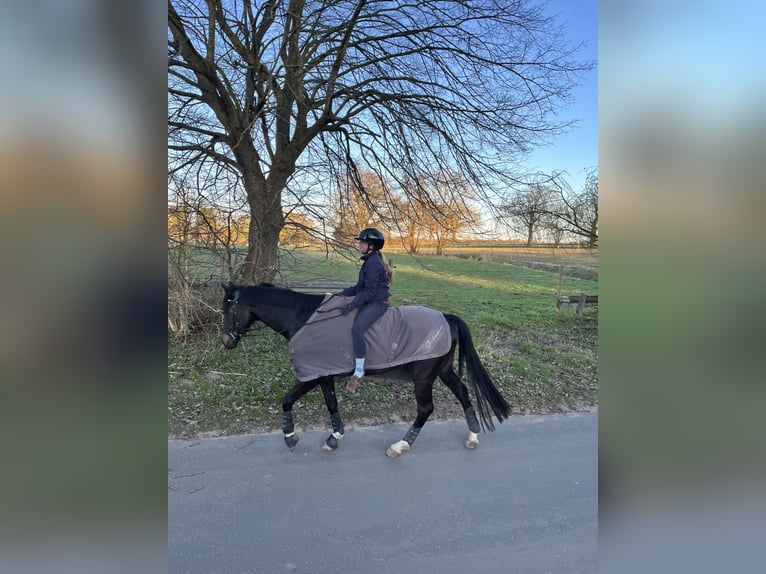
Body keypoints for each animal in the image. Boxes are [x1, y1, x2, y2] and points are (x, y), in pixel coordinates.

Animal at [219, 281, 510, 457]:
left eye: (227, 309)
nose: (225, 341)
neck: (305, 320)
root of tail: (446, 318)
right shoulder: (323, 374)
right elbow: (331, 403)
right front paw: (334, 436)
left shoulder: (311, 375)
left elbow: (287, 399)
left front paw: (290, 437)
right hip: (444, 370)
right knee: (462, 392)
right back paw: (472, 435)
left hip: (424, 378)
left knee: (426, 409)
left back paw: (400, 445)